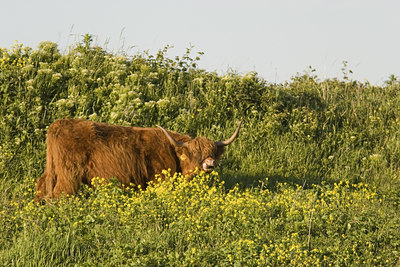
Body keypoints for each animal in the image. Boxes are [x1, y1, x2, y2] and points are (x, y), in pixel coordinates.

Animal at [35, 119, 241, 201]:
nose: (210, 163)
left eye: (213, 151)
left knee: (41, 185)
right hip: (69, 174)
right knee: (59, 194)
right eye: (196, 153)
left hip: (52, 169)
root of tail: (58, 124)